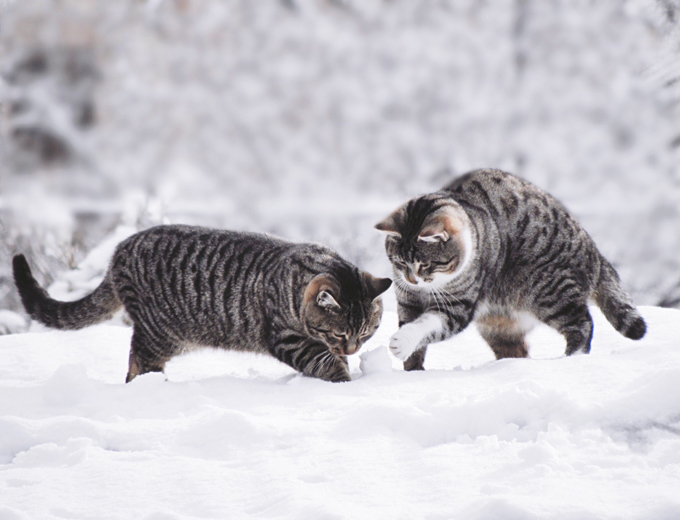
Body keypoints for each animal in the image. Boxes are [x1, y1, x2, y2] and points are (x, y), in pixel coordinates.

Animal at [13, 224, 390, 382]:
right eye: (340, 334)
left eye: (366, 334)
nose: (353, 349)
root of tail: (118, 251)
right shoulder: (289, 339)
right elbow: (323, 362)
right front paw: (342, 379)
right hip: (160, 335)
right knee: (137, 364)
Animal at [374, 168, 644, 370]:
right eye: (399, 262)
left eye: (425, 264)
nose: (412, 280)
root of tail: (593, 250)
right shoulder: (407, 300)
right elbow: (414, 334)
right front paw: (413, 371)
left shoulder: (457, 306)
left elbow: (427, 324)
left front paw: (401, 343)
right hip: (499, 326)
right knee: (517, 350)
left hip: (550, 290)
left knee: (583, 324)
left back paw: (570, 358)